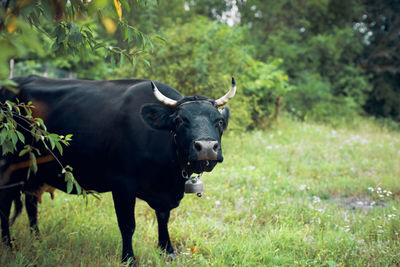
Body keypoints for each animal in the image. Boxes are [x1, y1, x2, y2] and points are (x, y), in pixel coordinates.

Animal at [0, 75, 234, 264]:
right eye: (179, 120)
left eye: (219, 121)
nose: (206, 147)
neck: (169, 177)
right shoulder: (123, 185)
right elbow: (127, 224)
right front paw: (128, 259)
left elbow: (163, 217)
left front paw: (167, 251)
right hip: (8, 167)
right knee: (6, 203)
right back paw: (8, 245)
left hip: (33, 171)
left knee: (31, 203)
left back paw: (37, 240)